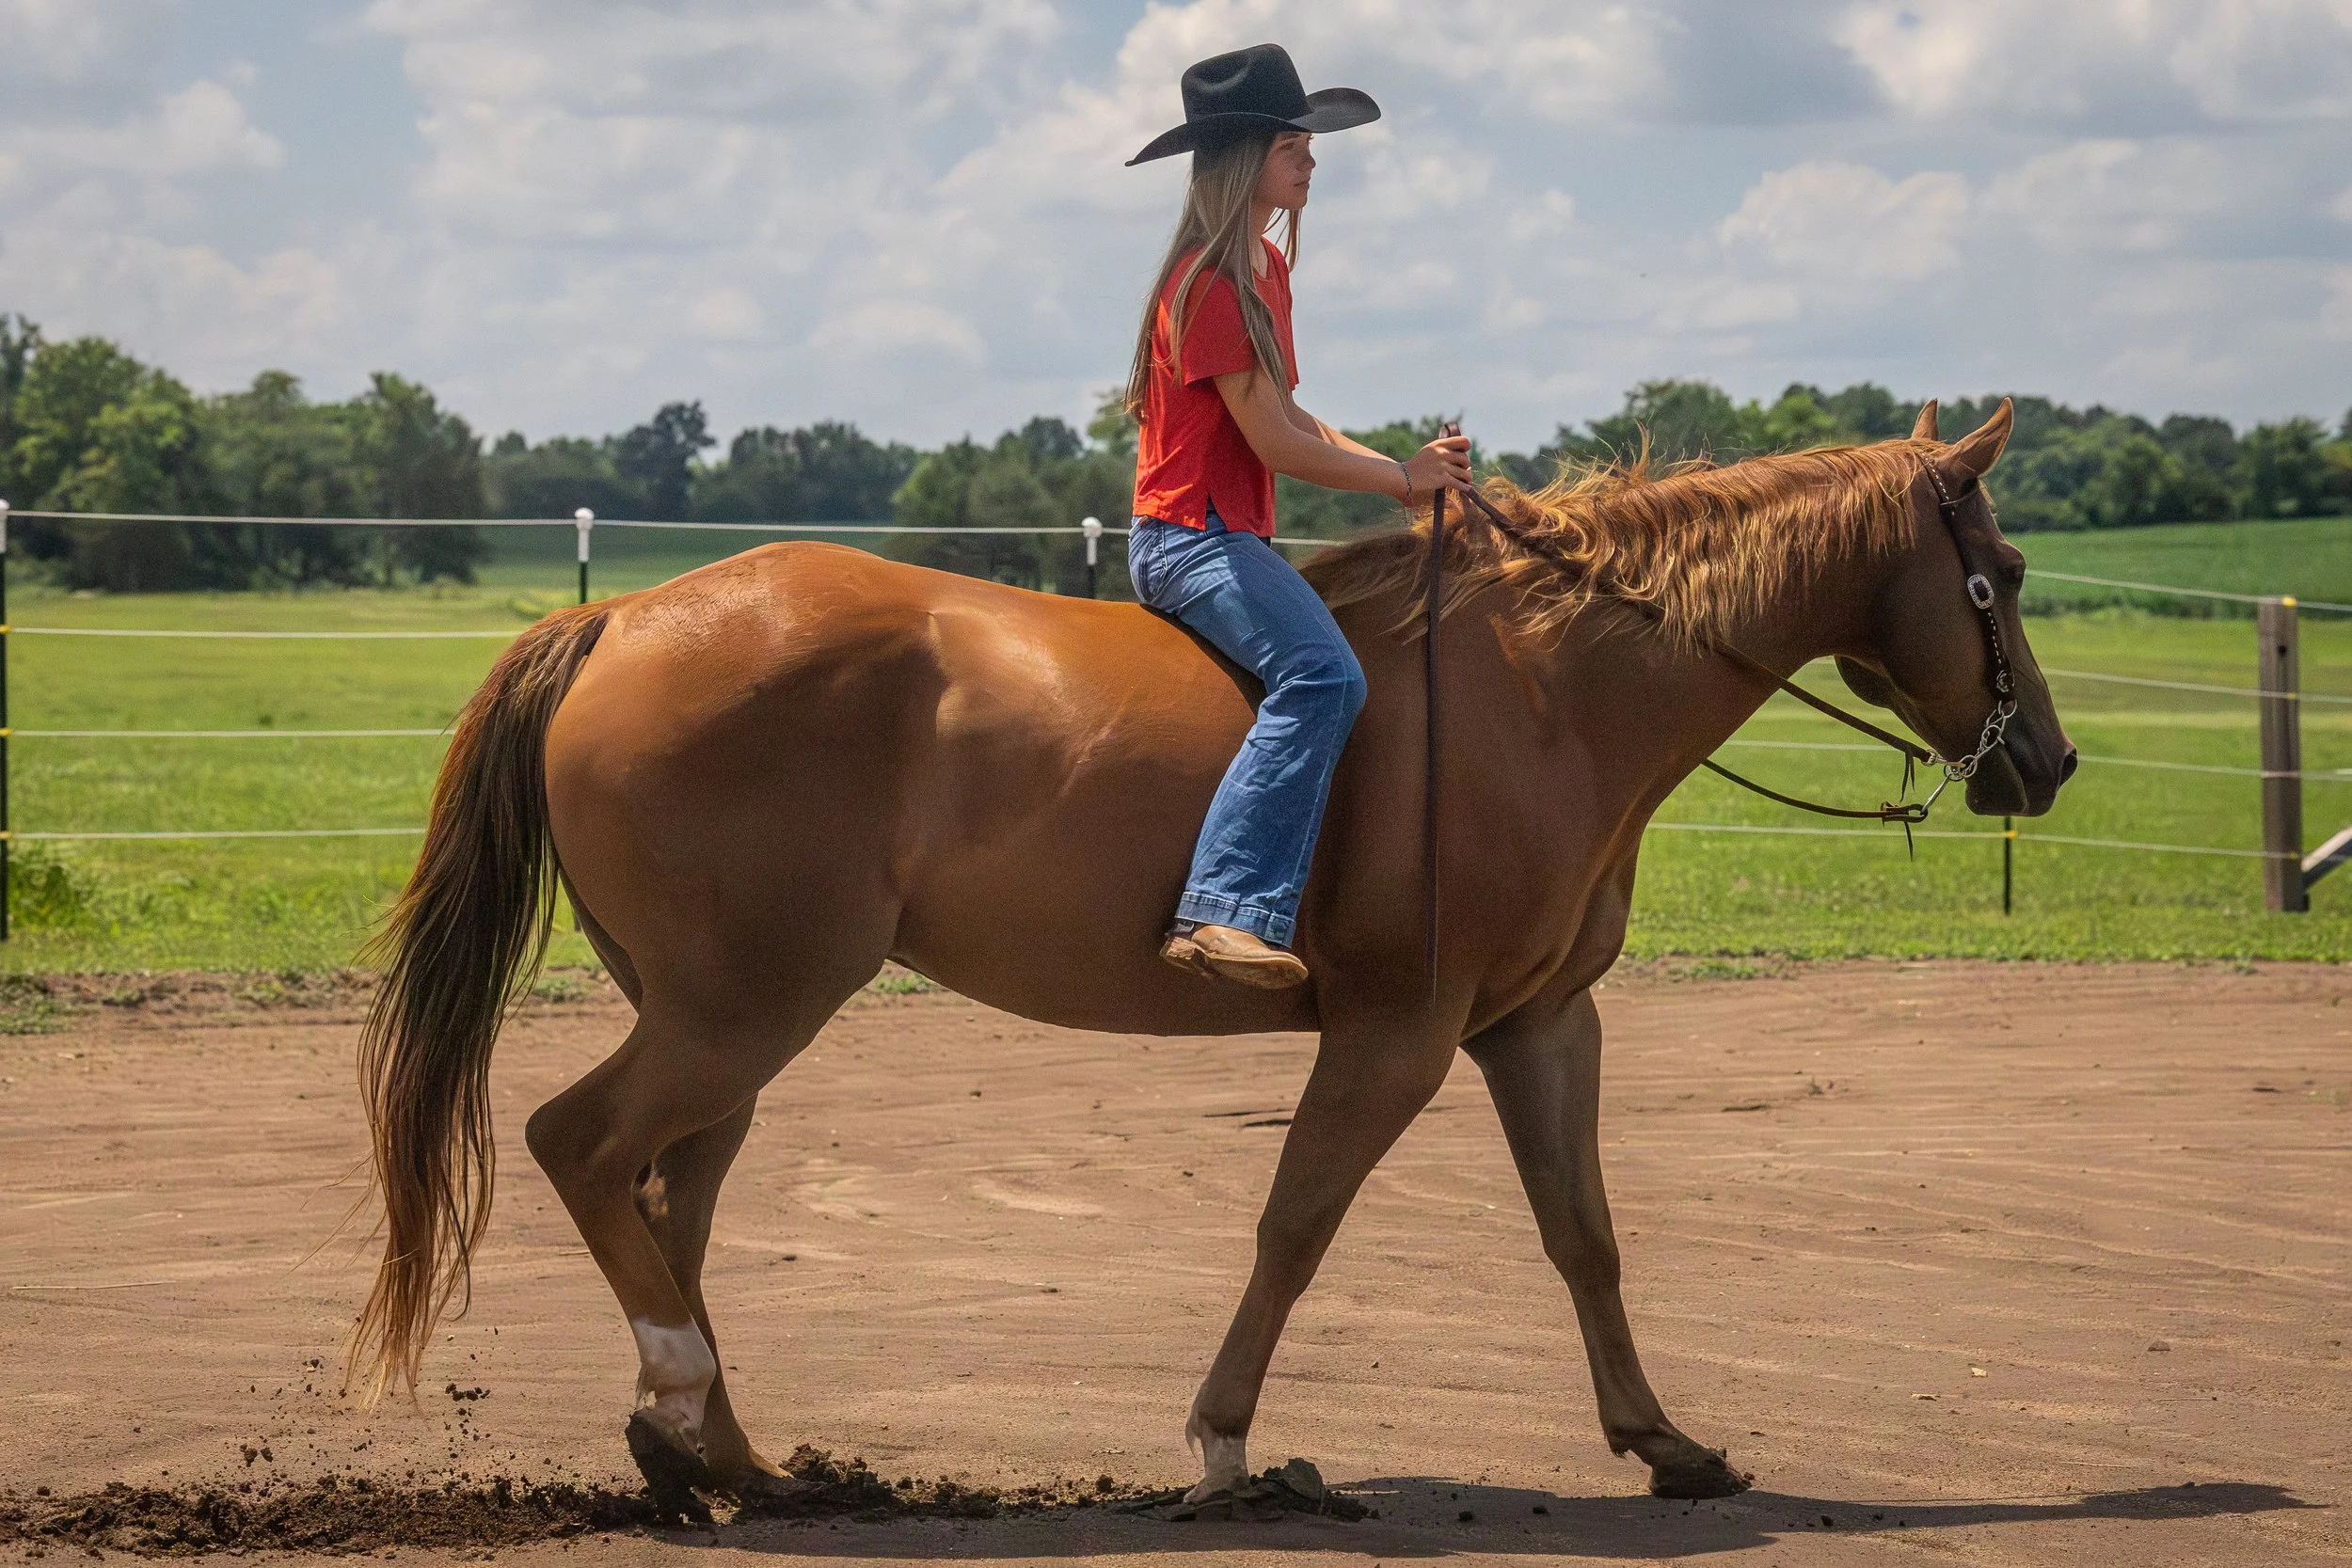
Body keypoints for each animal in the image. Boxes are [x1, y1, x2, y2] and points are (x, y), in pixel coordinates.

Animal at [349, 399, 2072, 1507]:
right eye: (2005, 575)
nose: (2044, 760)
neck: (1543, 689)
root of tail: (623, 618)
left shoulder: (1539, 1026)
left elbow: (1584, 1235)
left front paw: (1665, 1442)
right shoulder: (1398, 1031)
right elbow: (1294, 1224)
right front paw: (1230, 1444)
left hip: (730, 1024)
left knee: (672, 1198)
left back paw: (730, 1457)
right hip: (739, 1011)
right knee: (582, 1144)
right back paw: (677, 1401)